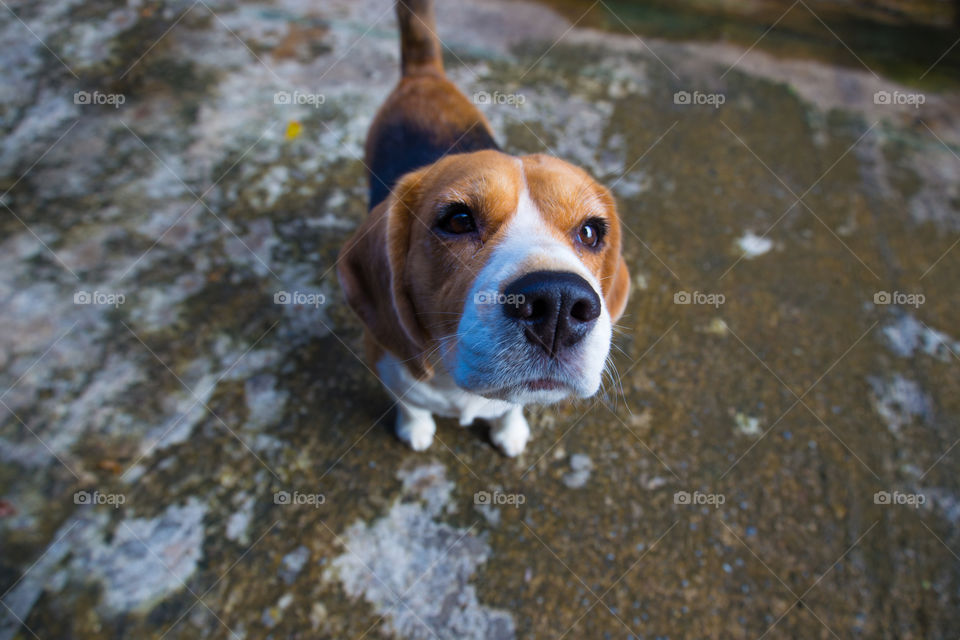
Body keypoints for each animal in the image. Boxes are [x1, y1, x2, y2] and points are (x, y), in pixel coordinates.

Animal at [338, 0, 632, 456]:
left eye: (590, 232)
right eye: (458, 220)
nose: (559, 303)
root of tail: (423, 74)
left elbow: (514, 406)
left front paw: (510, 431)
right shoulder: (386, 361)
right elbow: (410, 403)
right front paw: (415, 428)